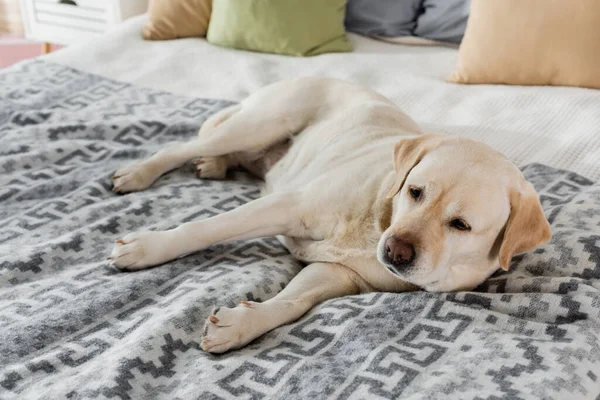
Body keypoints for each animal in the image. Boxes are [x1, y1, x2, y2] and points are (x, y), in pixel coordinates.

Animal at [106, 78, 548, 354]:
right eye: (414, 191)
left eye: (461, 225)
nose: (396, 251)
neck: (379, 218)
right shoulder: (288, 206)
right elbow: (203, 228)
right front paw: (147, 247)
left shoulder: (338, 273)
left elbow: (293, 301)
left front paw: (242, 324)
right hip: (259, 123)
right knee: (180, 147)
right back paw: (139, 172)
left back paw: (214, 165)